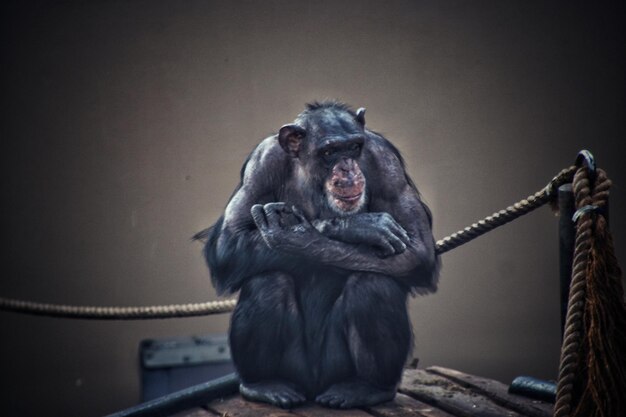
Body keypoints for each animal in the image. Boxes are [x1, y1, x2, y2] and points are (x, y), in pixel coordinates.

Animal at [196, 101, 438, 410]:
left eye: (354, 147)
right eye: (329, 152)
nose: (348, 168)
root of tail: (314, 388)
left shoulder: (386, 163)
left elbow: (418, 250)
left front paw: (298, 235)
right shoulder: (261, 164)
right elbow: (228, 244)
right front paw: (358, 226)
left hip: (334, 366)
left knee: (373, 283)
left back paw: (367, 389)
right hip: (294, 367)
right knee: (267, 282)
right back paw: (263, 385)